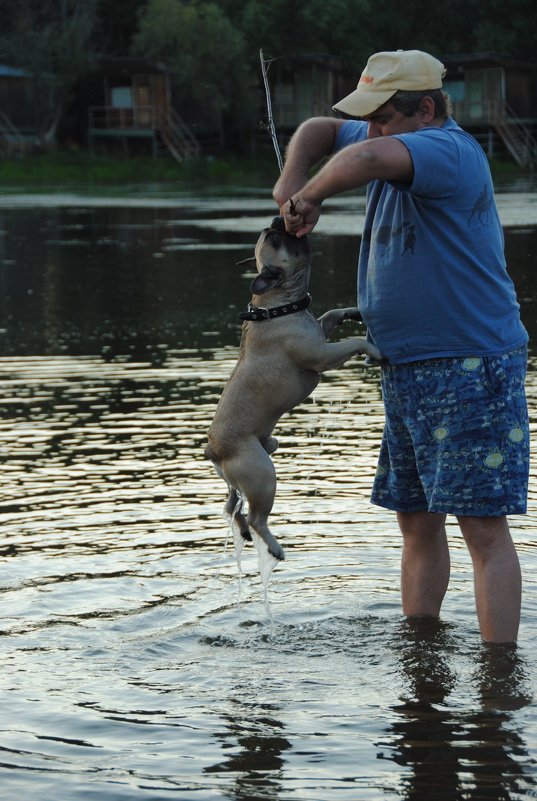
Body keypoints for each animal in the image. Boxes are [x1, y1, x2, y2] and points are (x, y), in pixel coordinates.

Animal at [203, 216, 384, 560]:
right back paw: (274, 547)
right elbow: (353, 342)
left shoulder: (320, 332)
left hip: (255, 460)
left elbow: (330, 314)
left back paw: (242, 532)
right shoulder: (321, 354)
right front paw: (373, 348)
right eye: (276, 239)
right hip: (263, 475)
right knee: (255, 516)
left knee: (231, 505)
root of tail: (215, 452)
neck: (277, 305)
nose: (278, 220)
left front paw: (352, 311)